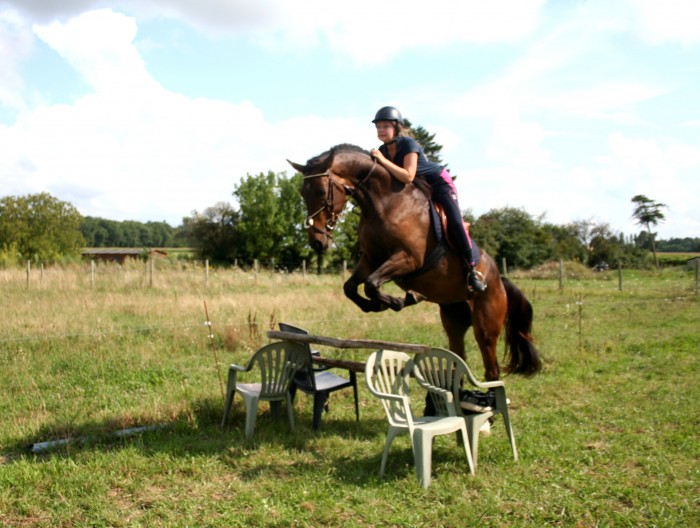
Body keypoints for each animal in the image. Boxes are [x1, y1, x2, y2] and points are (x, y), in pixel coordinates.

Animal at [286, 142, 540, 382]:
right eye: (302, 193)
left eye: (321, 192)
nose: (317, 242)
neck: (384, 202)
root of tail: (499, 280)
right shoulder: (371, 259)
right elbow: (352, 287)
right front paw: (379, 305)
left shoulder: (409, 258)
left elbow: (371, 284)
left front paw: (402, 299)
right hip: (453, 318)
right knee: (459, 357)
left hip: (486, 323)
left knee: (491, 367)